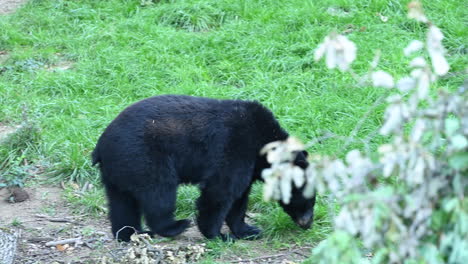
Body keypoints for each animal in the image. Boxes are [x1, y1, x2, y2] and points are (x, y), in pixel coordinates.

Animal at [92, 95, 314, 241]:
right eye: (309, 197)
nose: (308, 223)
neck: (265, 145)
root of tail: (100, 147)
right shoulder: (236, 148)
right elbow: (220, 192)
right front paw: (218, 235)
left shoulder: (248, 166)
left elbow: (239, 199)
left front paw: (248, 230)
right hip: (145, 158)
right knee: (159, 194)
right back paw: (175, 226)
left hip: (118, 171)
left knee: (121, 203)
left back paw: (130, 233)